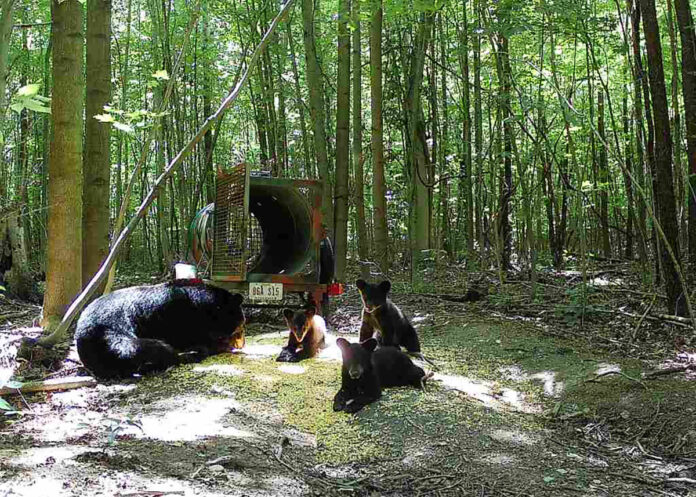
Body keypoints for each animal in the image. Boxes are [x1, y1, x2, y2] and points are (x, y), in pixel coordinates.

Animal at [75, 282, 245, 379]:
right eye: (240, 326)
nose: (241, 343)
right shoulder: (177, 317)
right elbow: (188, 337)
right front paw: (217, 346)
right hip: (108, 335)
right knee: (143, 348)